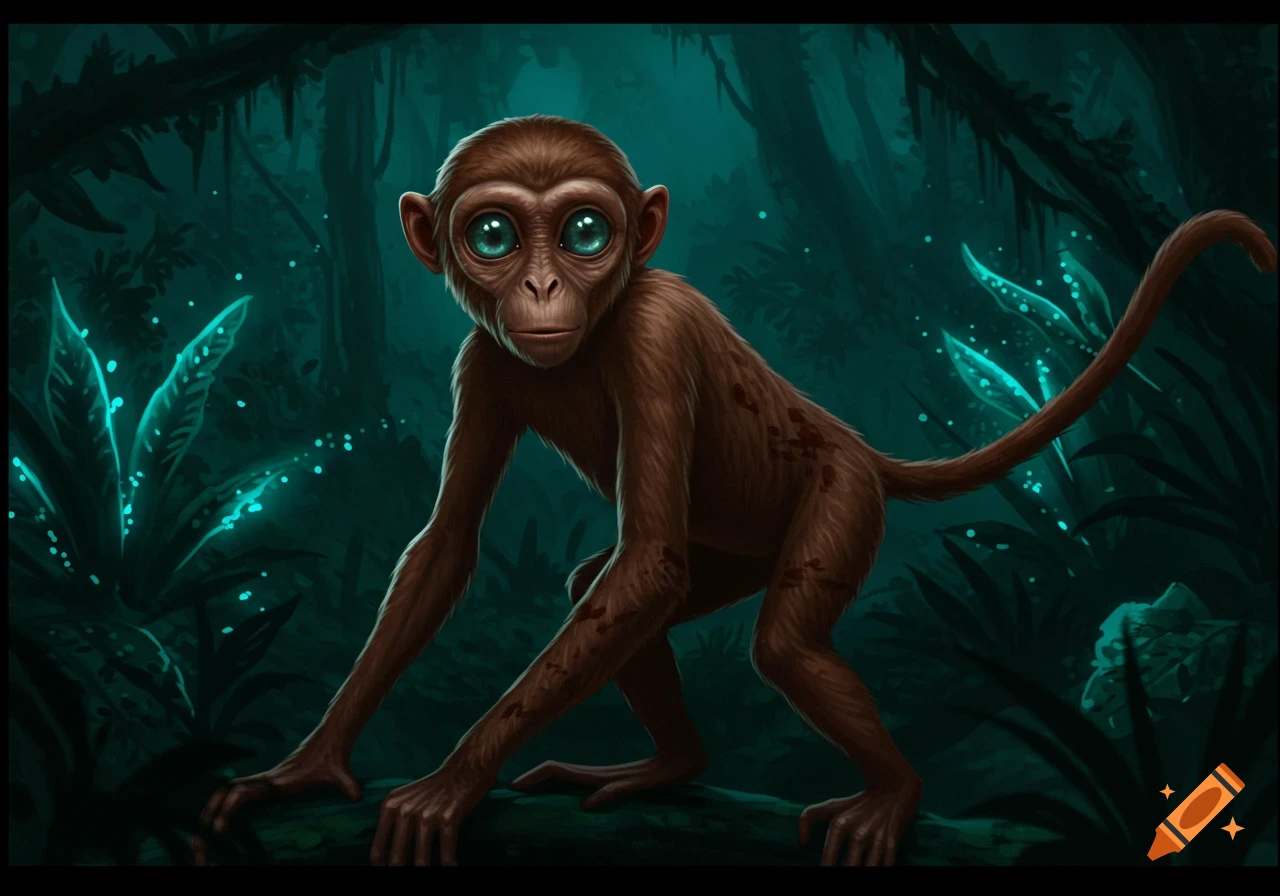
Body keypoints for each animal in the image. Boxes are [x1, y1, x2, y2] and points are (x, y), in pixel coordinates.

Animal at [192, 114, 1276, 868]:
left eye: (584, 231)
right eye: (493, 235)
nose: (541, 290)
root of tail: (852, 439)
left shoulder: (654, 339)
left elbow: (644, 563)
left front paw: (453, 777)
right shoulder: (482, 364)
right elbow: (453, 543)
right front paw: (309, 764)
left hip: (838, 499)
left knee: (778, 639)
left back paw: (892, 790)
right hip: (740, 547)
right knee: (611, 585)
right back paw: (668, 766)